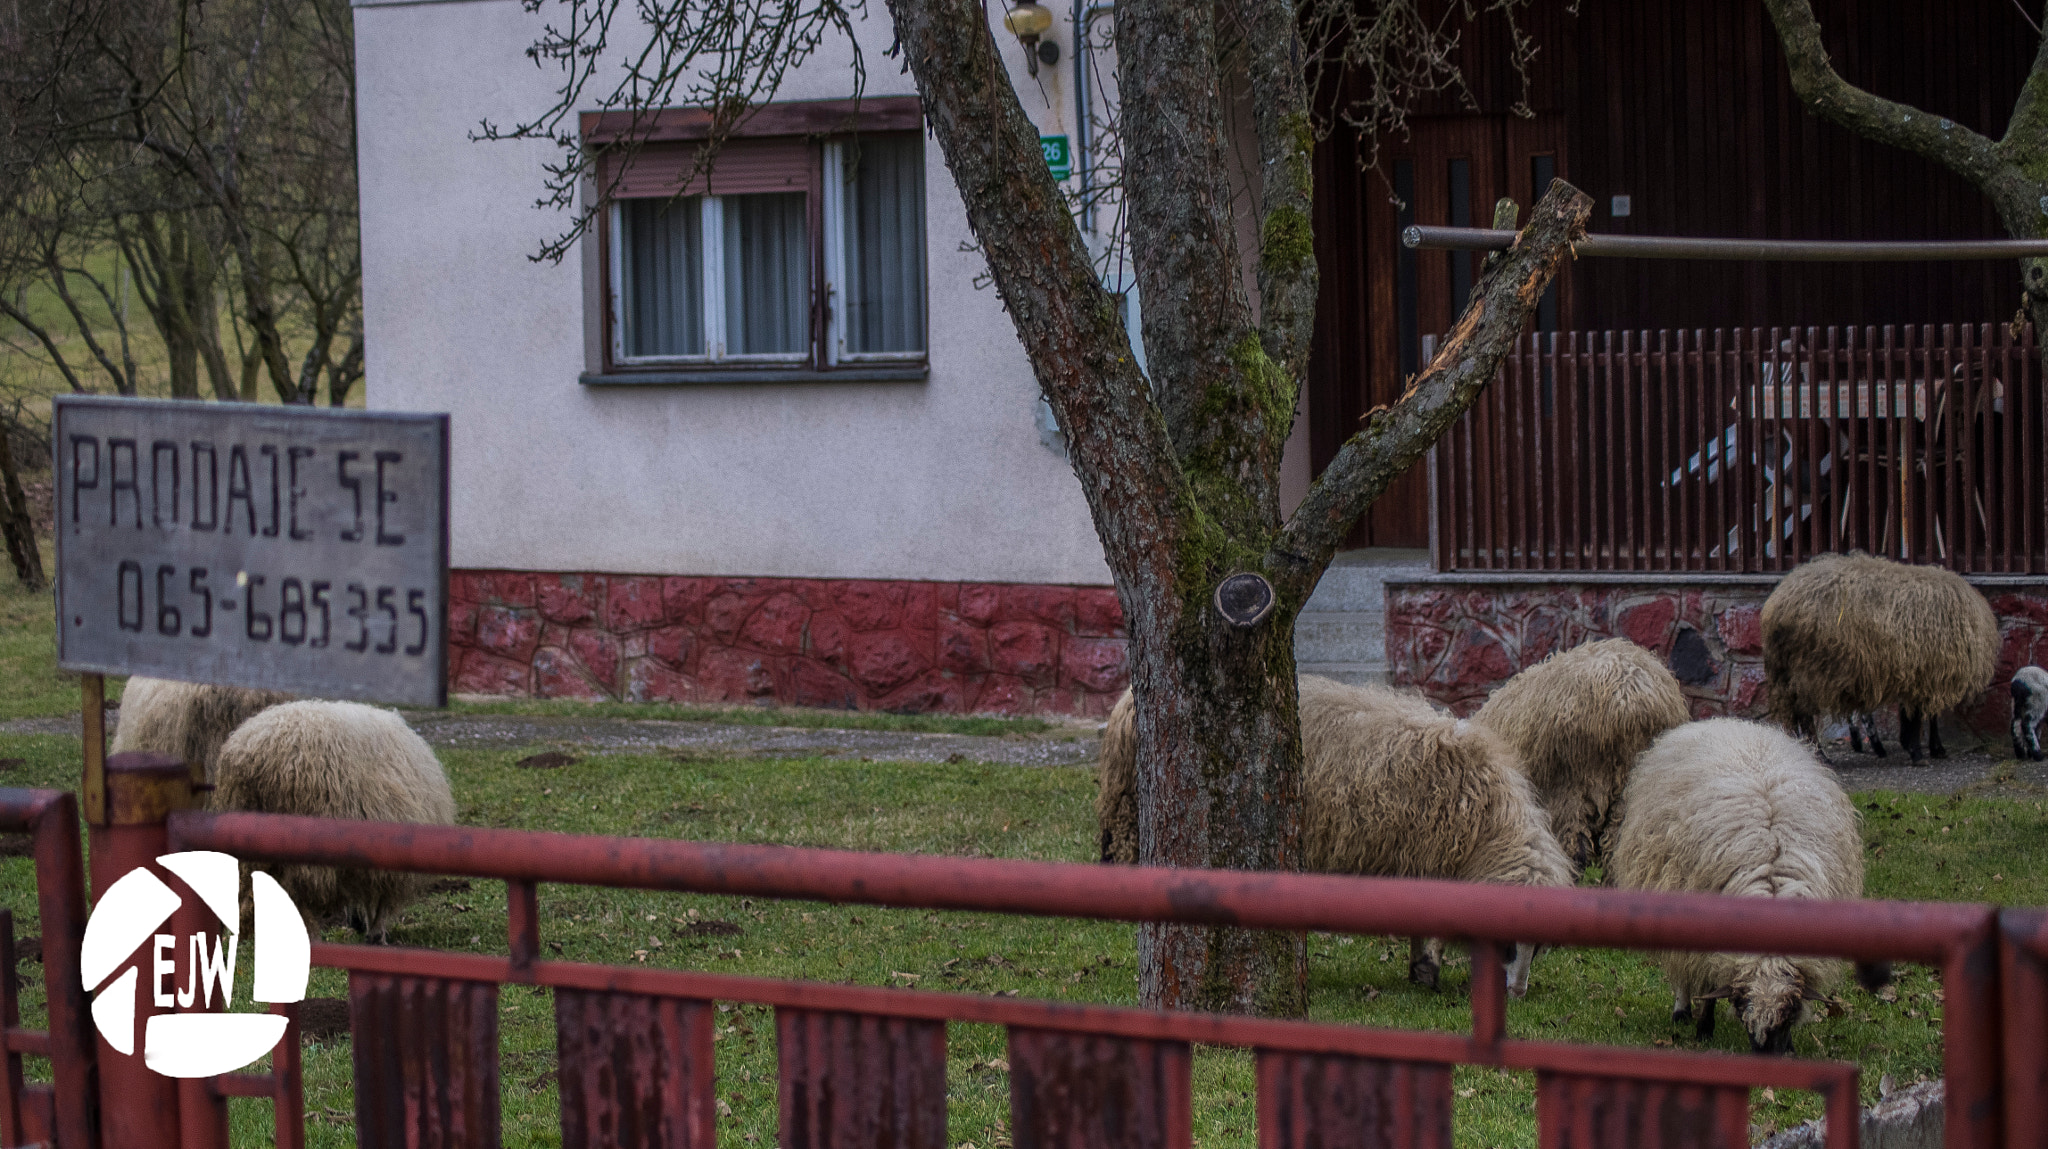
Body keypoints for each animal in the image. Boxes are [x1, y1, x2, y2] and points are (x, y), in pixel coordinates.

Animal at [1097, 676, 1575, 996]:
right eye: (1510, 945)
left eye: (1539, 948)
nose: (1518, 994)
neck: (1486, 826)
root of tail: (1127, 697)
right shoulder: (1430, 857)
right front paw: (1426, 969)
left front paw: (1419, 968)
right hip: (1128, 814)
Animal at [1611, 718, 1886, 1053]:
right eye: (1741, 1006)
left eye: (1789, 1011)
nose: (1766, 1057)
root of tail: (1722, 722)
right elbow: (1709, 985)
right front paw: (1704, 1027)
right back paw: (1682, 1010)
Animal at [1762, 552, 1999, 762]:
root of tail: (1778, 601)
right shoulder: (1927, 669)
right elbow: (1919, 715)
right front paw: (1918, 751)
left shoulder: (1922, 671)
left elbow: (1920, 714)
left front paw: (1923, 746)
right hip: (1806, 671)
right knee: (1805, 716)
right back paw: (1820, 754)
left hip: (1788, 673)